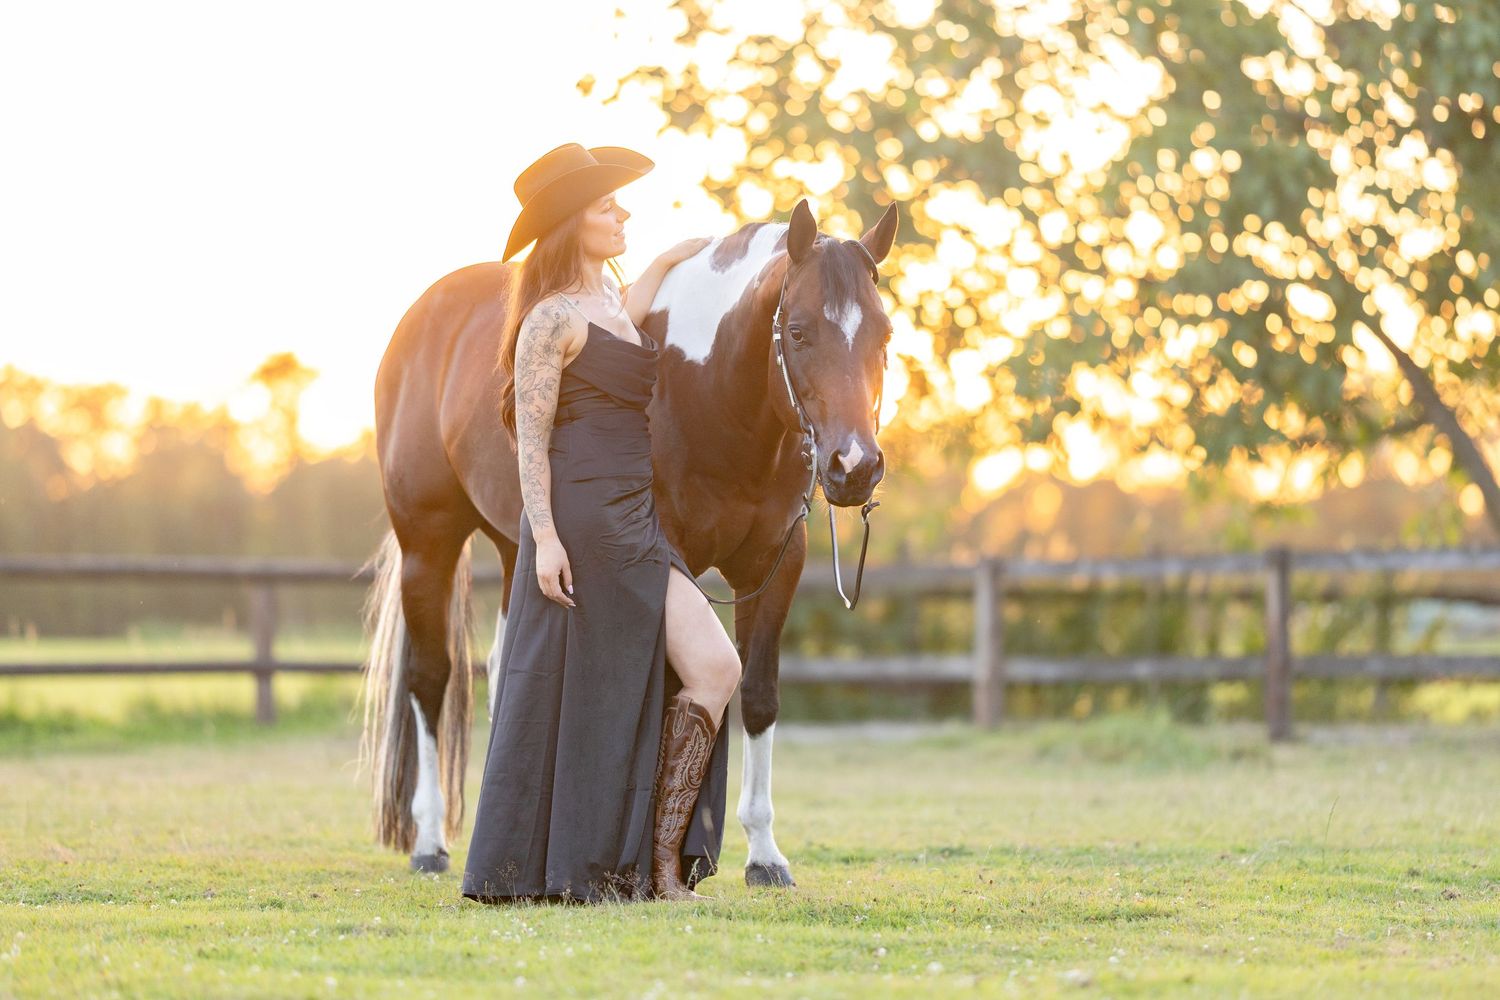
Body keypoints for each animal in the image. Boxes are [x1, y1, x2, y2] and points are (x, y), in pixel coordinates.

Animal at [360, 196, 898, 886]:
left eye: (883, 335)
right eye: (799, 331)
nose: (853, 467)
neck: (709, 393)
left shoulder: (775, 568)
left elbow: (757, 695)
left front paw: (764, 854)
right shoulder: (666, 564)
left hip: (519, 549)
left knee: (506, 669)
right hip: (428, 542)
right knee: (429, 681)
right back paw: (430, 842)